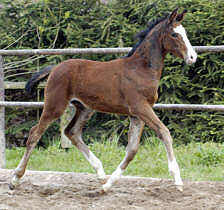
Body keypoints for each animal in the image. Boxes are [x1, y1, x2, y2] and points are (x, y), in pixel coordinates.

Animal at [9, 8, 197, 192]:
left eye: (185, 32)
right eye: (174, 34)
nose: (193, 57)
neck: (141, 69)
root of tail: (55, 68)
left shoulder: (137, 114)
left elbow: (132, 150)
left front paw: (108, 185)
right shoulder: (140, 108)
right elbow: (164, 133)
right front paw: (177, 180)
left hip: (85, 108)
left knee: (71, 131)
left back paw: (100, 172)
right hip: (55, 106)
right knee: (35, 133)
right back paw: (15, 179)